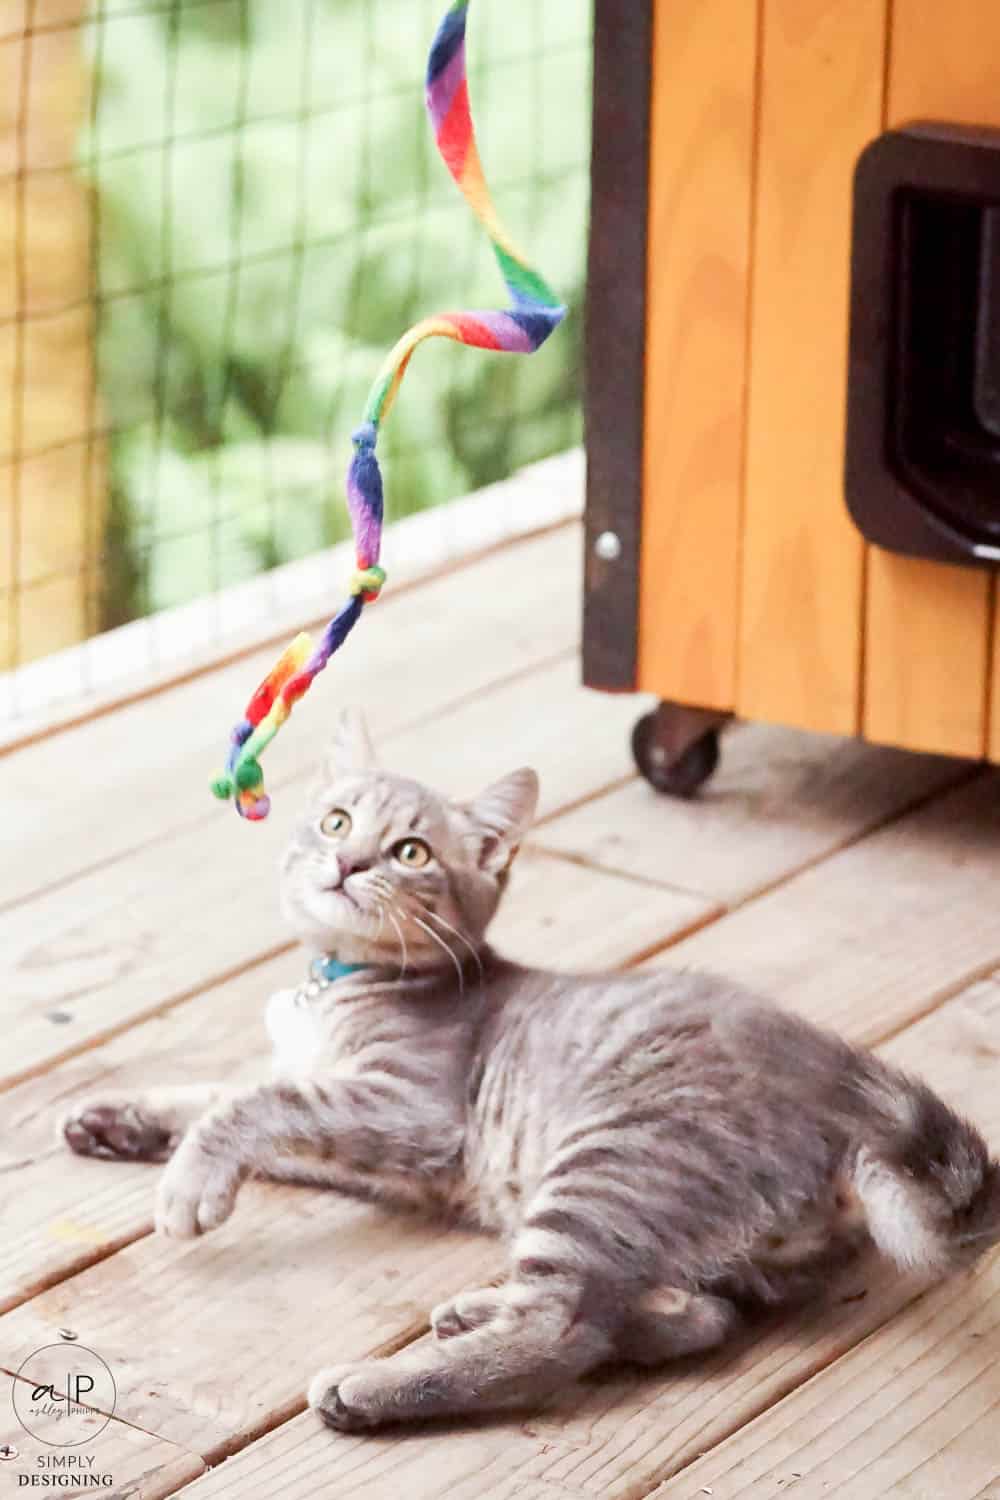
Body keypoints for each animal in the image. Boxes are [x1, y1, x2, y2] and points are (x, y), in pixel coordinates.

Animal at [64, 711, 1000, 1428]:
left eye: (410, 852)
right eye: (335, 821)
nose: (349, 862)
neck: (339, 981)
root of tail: (843, 1133)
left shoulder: (408, 1108)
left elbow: (250, 1102)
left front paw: (190, 1187)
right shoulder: (352, 1121)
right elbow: (219, 1093)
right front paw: (117, 1120)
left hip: (606, 1167)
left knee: (561, 1331)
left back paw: (375, 1386)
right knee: (688, 1313)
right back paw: (489, 1311)